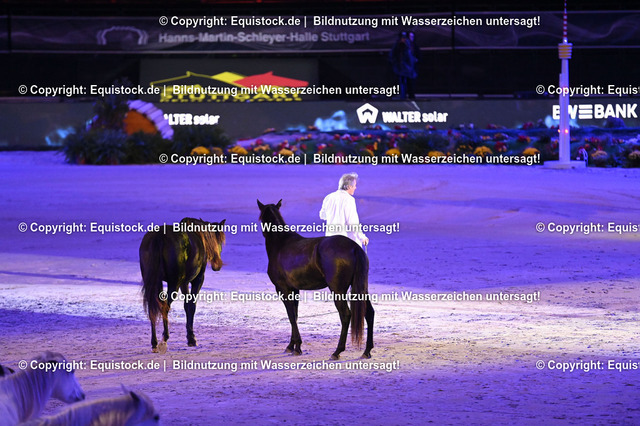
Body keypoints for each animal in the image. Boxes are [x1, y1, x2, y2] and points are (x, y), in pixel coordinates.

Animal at [140, 217, 226, 353]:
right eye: (220, 240)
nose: (217, 265)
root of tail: (160, 236)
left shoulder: (184, 283)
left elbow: (186, 306)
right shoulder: (197, 280)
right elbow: (191, 306)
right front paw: (191, 338)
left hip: (154, 282)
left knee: (153, 308)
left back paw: (154, 343)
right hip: (173, 283)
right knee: (165, 306)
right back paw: (164, 339)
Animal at [257, 200, 374, 359]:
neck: (281, 244)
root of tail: (354, 247)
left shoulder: (283, 289)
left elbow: (291, 315)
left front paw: (297, 347)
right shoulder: (294, 290)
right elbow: (295, 315)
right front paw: (292, 345)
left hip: (338, 290)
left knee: (345, 315)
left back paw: (337, 351)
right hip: (361, 287)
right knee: (369, 313)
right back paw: (367, 351)